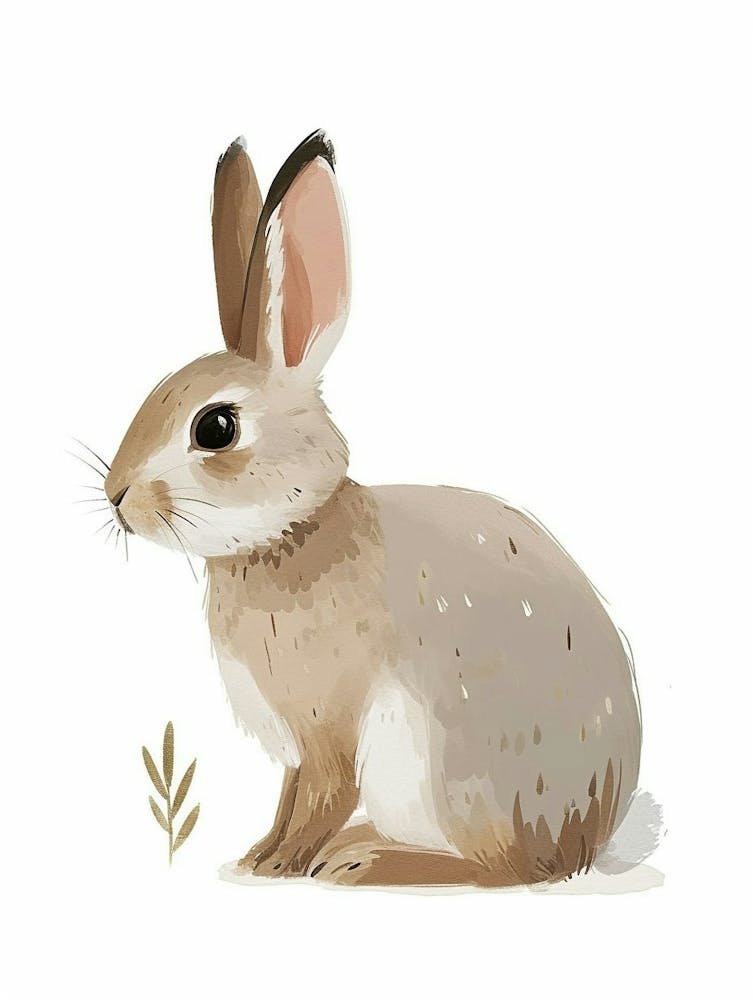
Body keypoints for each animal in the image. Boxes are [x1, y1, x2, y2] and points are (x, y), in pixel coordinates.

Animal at [102, 130, 641, 887]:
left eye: (215, 428)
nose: (116, 497)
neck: (293, 531)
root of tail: (580, 841)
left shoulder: (329, 726)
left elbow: (321, 795)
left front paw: (280, 866)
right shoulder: (296, 749)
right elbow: (290, 797)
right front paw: (258, 855)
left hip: (442, 768)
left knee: (497, 870)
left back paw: (367, 860)